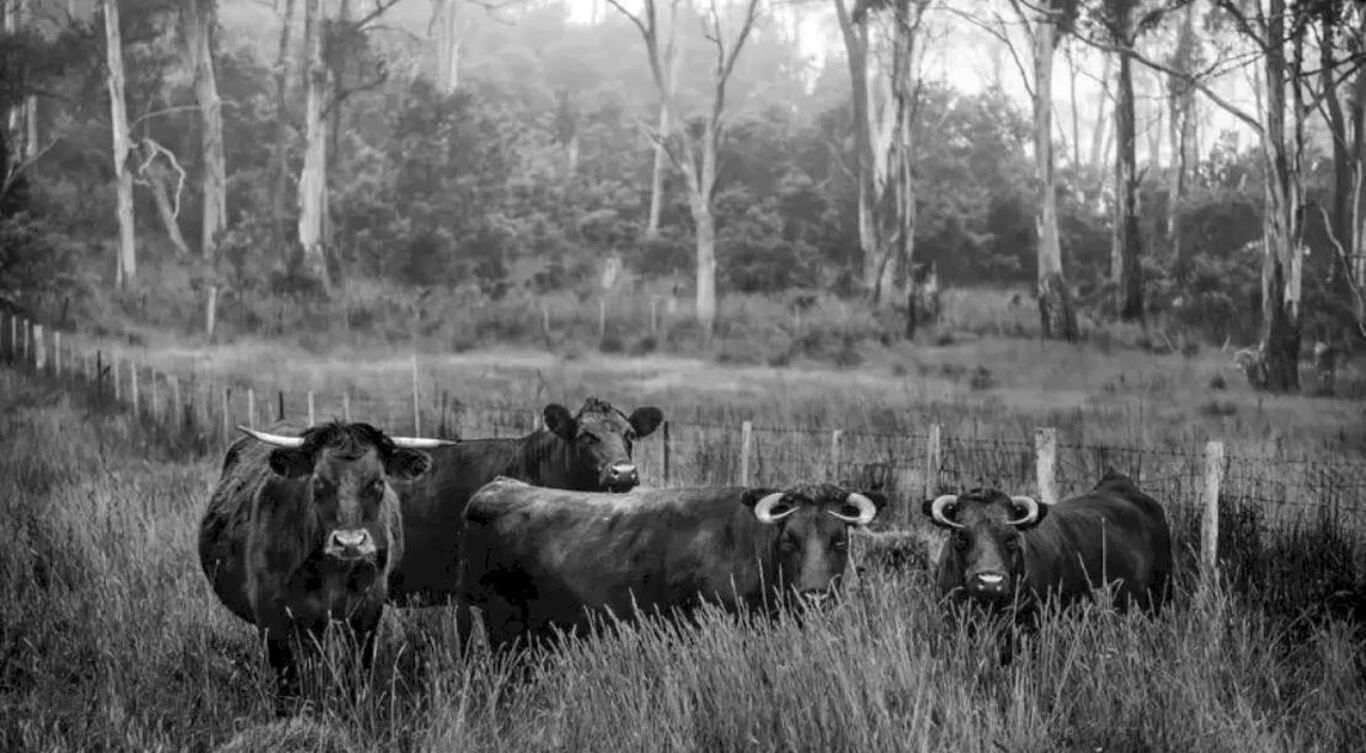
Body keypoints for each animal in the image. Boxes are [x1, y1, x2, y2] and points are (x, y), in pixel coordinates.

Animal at [198, 423, 453, 710]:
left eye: (378, 482)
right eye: (319, 482)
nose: (350, 542)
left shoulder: (367, 611)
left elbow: (358, 670)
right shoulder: (270, 615)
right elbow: (286, 678)